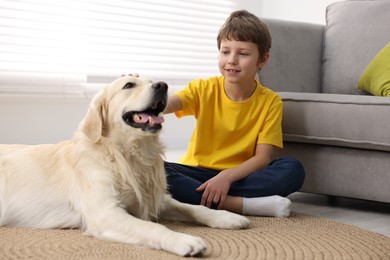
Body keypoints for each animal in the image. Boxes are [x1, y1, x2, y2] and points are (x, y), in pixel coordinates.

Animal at [0, 76, 250, 256]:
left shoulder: (157, 198)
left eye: (152, 81)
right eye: (129, 85)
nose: (163, 85)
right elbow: (153, 227)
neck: (127, 155)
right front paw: (184, 240)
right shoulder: (105, 212)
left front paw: (227, 217)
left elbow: (194, 208)